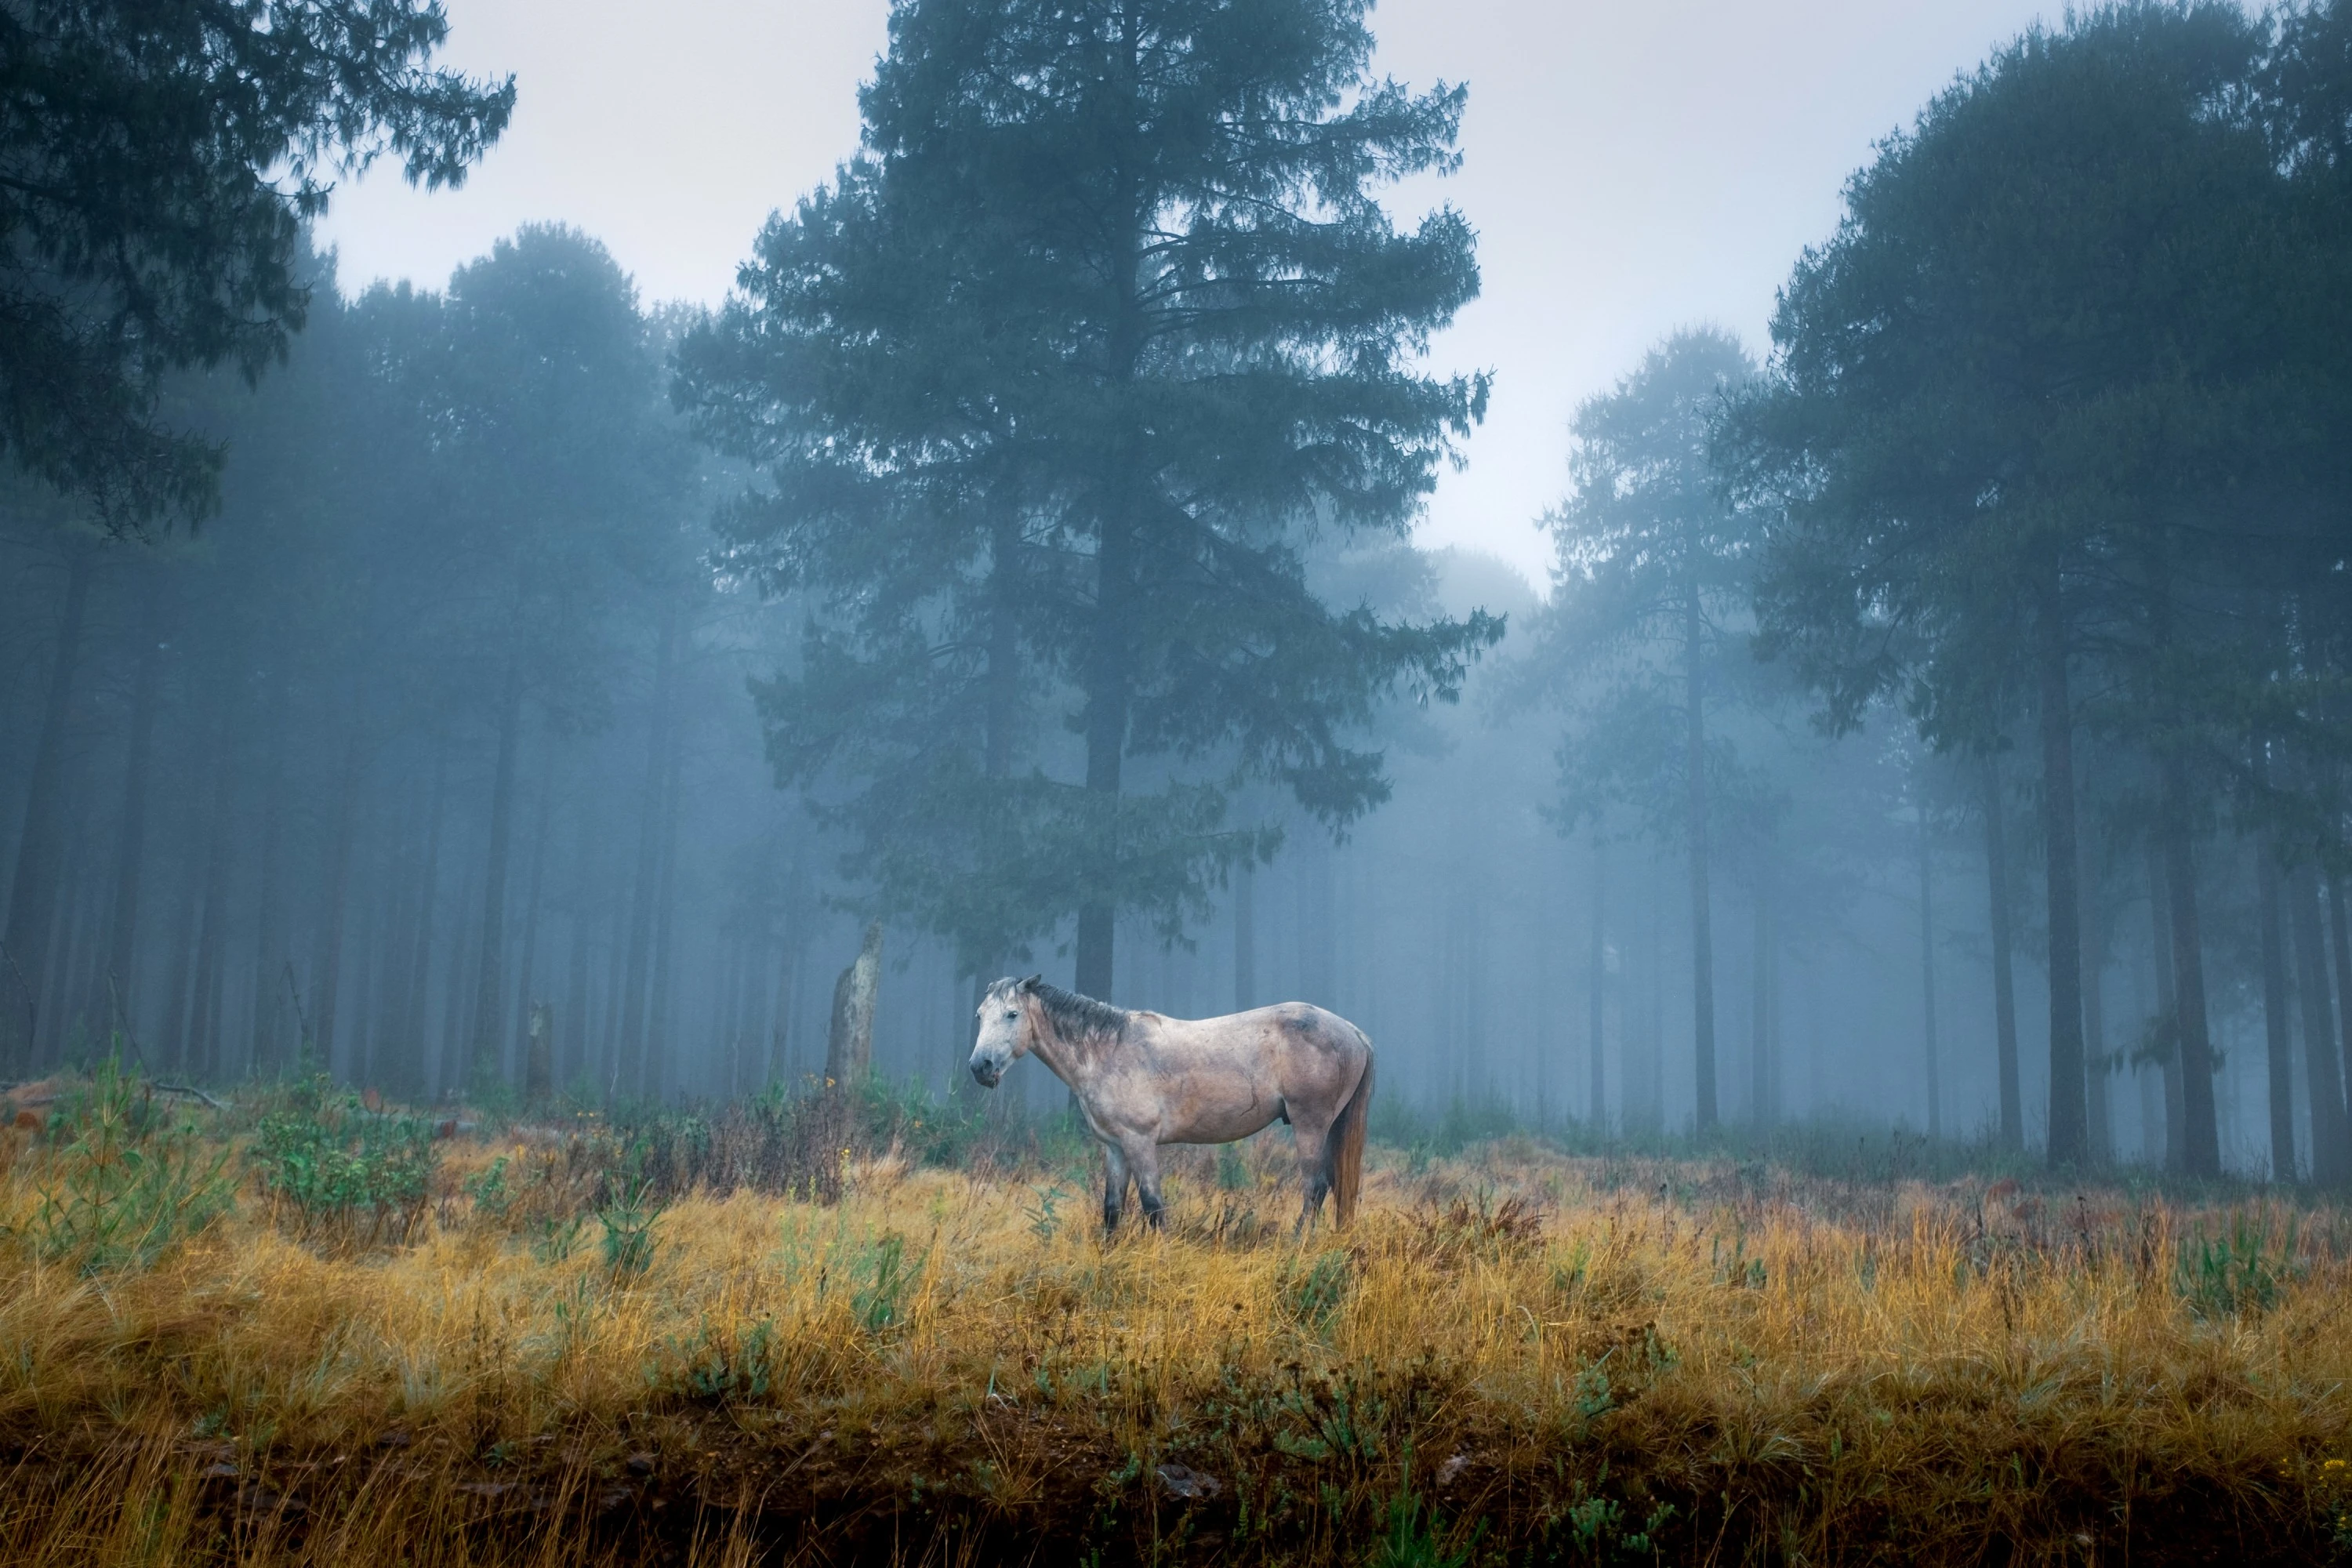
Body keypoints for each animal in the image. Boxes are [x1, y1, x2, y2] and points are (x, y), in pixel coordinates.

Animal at [960, 973, 1374, 1232]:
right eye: (979, 1015)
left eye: (1012, 1014)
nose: (981, 1067)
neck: (1108, 1052)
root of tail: (1354, 1032)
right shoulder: (1115, 1147)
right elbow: (1112, 1209)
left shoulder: (1140, 1142)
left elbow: (1152, 1206)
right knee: (1335, 1187)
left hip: (1310, 1125)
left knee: (1315, 1188)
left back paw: (1296, 1243)